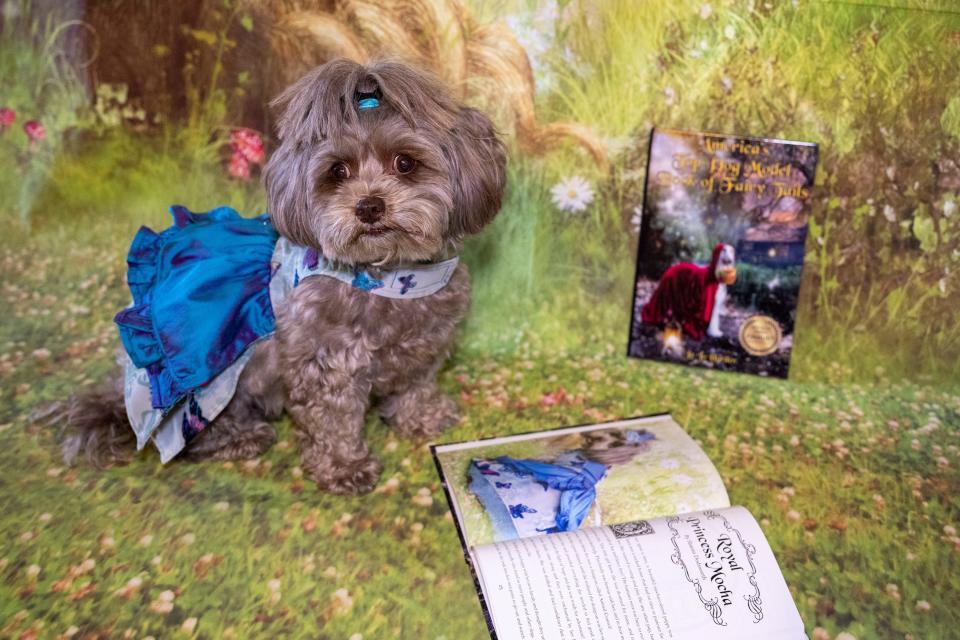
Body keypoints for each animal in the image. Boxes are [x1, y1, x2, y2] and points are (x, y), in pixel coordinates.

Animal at [58, 60, 510, 492]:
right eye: (338, 172)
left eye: (405, 163)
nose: (369, 206)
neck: (390, 280)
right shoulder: (324, 358)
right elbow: (332, 418)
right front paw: (343, 466)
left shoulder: (426, 343)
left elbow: (417, 383)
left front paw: (422, 417)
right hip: (207, 388)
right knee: (192, 432)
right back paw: (238, 437)